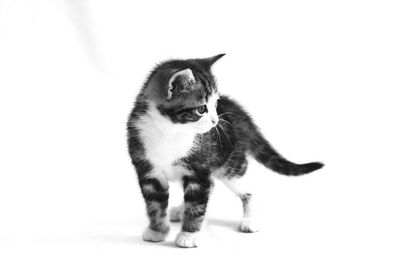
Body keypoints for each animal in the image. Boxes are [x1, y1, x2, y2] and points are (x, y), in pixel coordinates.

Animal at [126, 54, 324, 249]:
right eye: (201, 108)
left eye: (215, 104)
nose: (215, 122)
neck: (169, 130)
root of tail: (239, 111)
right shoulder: (148, 171)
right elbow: (154, 204)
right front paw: (157, 231)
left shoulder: (199, 168)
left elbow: (196, 203)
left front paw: (188, 235)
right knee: (211, 185)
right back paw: (181, 210)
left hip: (230, 163)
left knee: (248, 190)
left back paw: (249, 220)